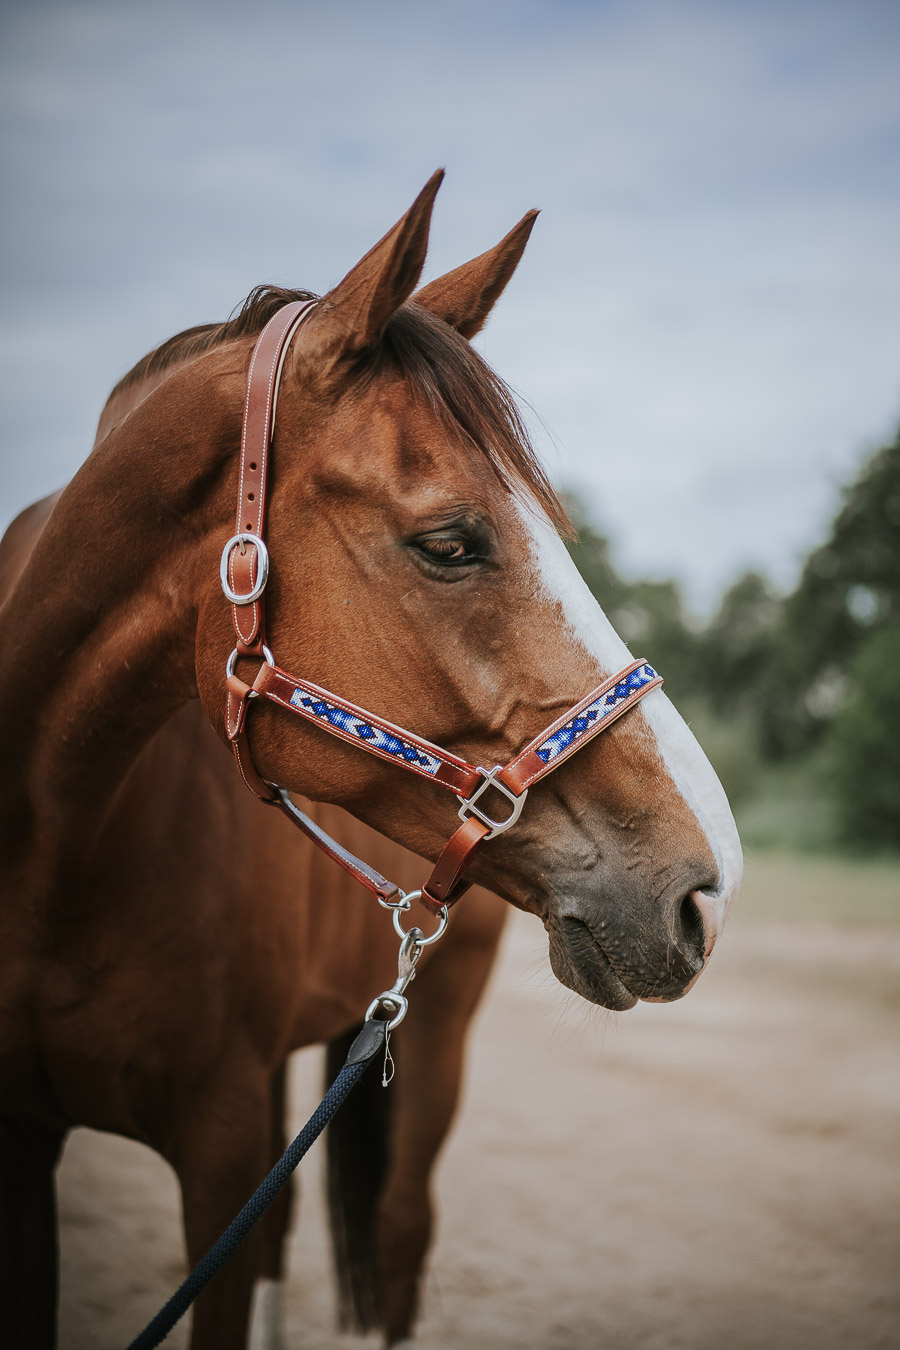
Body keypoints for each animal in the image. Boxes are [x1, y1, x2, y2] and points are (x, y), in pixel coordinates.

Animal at [0, 170, 743, 1349]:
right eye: (450, 542)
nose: (707, 886)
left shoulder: (221, 1149)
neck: (55, 847)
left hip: (433, 1039)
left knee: (399, 1237)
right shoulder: (31, 1149)